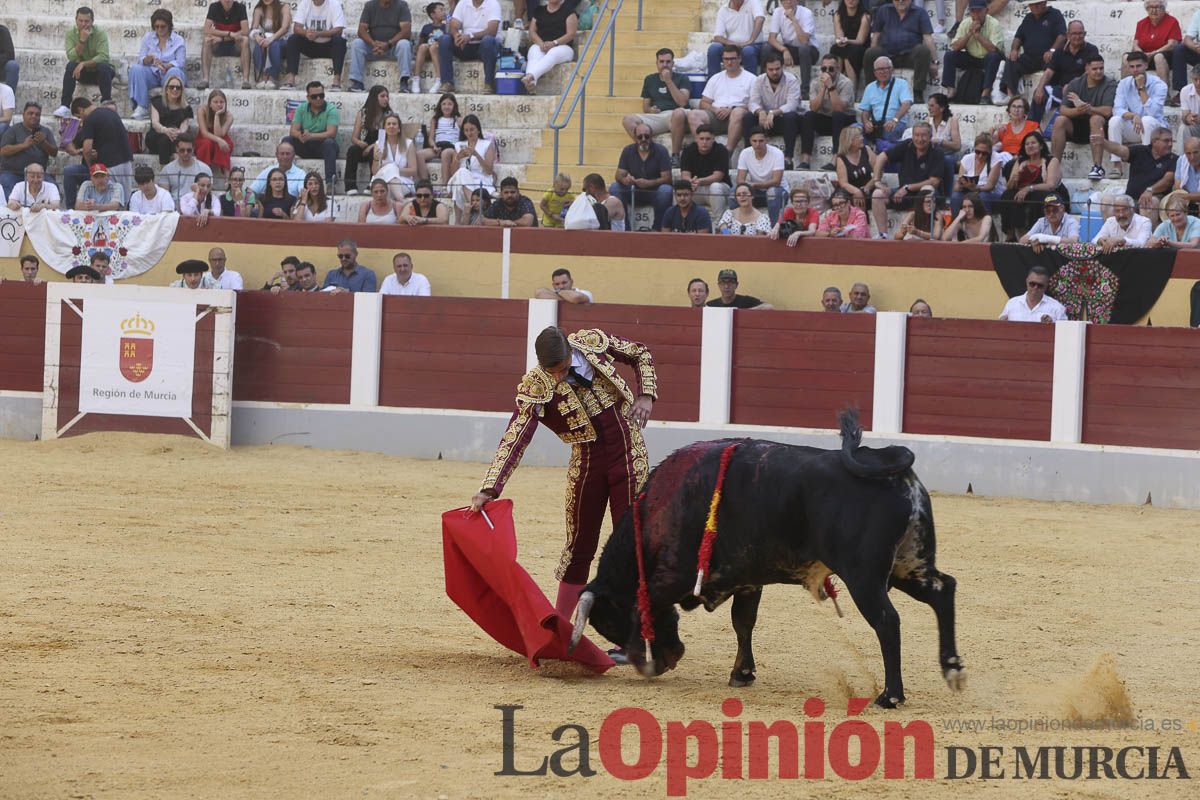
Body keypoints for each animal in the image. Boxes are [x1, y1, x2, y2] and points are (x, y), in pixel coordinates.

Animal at [571, 412, 964, 705]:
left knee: (887, 621)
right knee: (943, 590)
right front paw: (742, 674)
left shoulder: (672, 578)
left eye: (610, 623)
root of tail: (886, 459)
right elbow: (743, 622)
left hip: (863, 577)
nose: (669, 660)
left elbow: (646, 607)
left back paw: (890, 695)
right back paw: (952, 669)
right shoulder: (746, 579)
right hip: (907, 564)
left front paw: (646, 661)